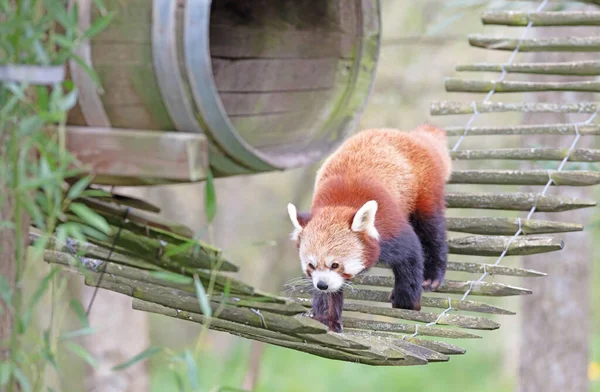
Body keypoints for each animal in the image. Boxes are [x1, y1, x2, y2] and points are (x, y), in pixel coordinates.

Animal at [286, 124, 450, 332]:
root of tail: (412, 137)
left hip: (425, 189)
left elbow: (410, 256)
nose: (322, 284)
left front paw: (406, 301)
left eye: (335, 264)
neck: (340, 203)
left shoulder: (389, 226)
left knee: (432, 230)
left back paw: (432, 276)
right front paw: (327, 319)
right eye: (311, 265)